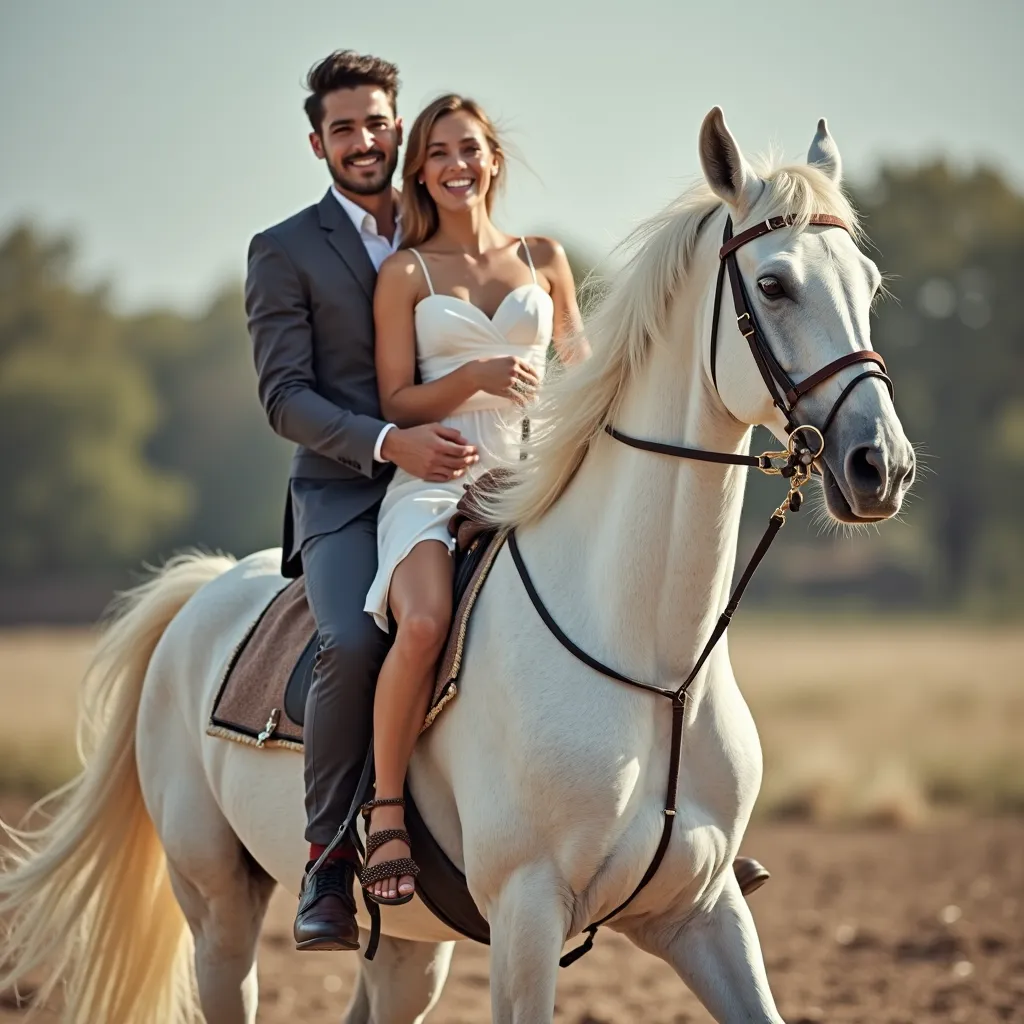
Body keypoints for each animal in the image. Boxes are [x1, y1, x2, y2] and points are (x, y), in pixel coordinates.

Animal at [0, 108, 913, 1019]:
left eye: (868, 284)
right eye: (774, 286)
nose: (882, 466)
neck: (658, 666)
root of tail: (206, 587)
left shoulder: (705, 912)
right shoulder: (526, 916)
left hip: (408, 951)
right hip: (219, 906)